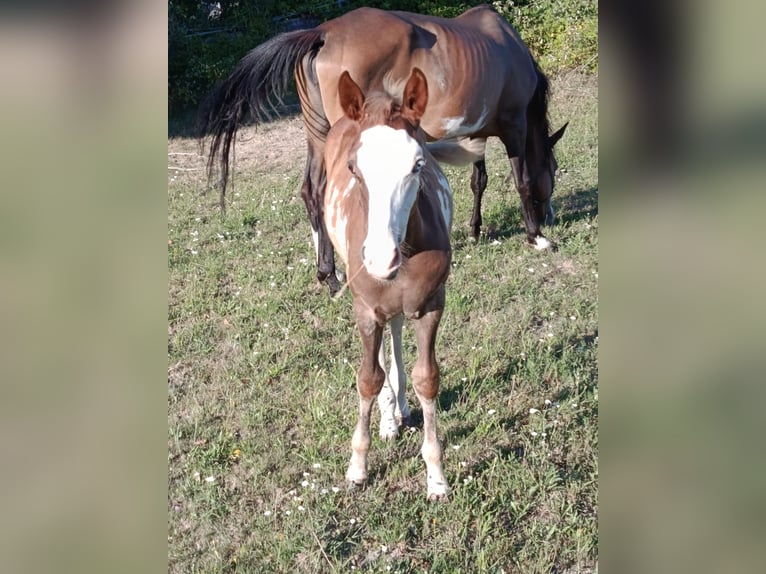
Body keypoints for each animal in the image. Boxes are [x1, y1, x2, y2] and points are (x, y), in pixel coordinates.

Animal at [199, 4, 568, 294]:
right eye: (554, 169)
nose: (549, 215)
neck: (507, 47)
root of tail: (323, 33)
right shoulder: (515, 127)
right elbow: (521, 181)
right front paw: (536, 236)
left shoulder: (476, 133)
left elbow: (479, 180)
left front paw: (476, 231)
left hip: (318, 135)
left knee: (312, 192)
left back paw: (328, 276)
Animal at [324, 67, 453, 499]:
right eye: (354, 169)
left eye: (418, 165)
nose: (381, 259)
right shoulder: (365, 309)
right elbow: (367, 378)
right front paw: (357, 467)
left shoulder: (431, 304)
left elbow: (427, 379)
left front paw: (436, 477)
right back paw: (387, 416)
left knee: (396, 329)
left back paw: (400, 407)